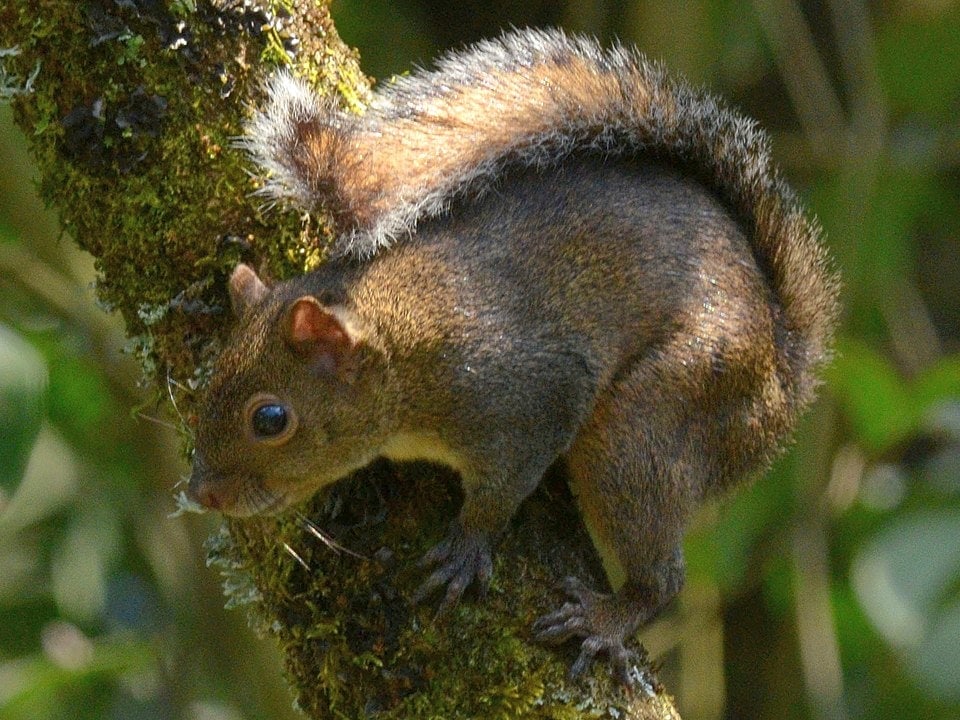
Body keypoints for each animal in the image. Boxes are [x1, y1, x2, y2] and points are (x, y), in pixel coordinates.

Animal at [187, 28, 839, 684]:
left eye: (270, 419)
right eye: (206, 385)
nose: (200, 494)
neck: (398, 341)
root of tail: (784, 383)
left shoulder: (524, 392)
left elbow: (503, 486)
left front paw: (468, 547)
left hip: (648, 424)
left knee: (661, 573)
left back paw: (606, 618)